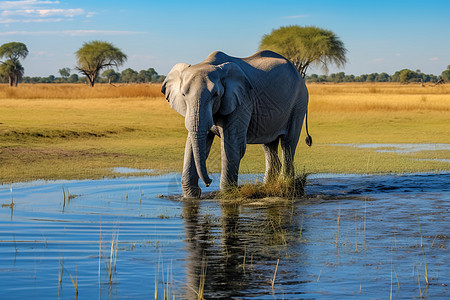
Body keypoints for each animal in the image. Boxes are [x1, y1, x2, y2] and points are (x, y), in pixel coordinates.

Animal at [162, 50, 312, 198]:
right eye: (183, 95)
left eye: (215, 95)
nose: (208, 183)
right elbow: (195, 143)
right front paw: (191, 196)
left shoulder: (242, 101)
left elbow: (232, 144)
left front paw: (228, 193)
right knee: (269, 145)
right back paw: (266, 186)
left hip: (299, 103)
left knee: (288, 143)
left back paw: (286, 185)